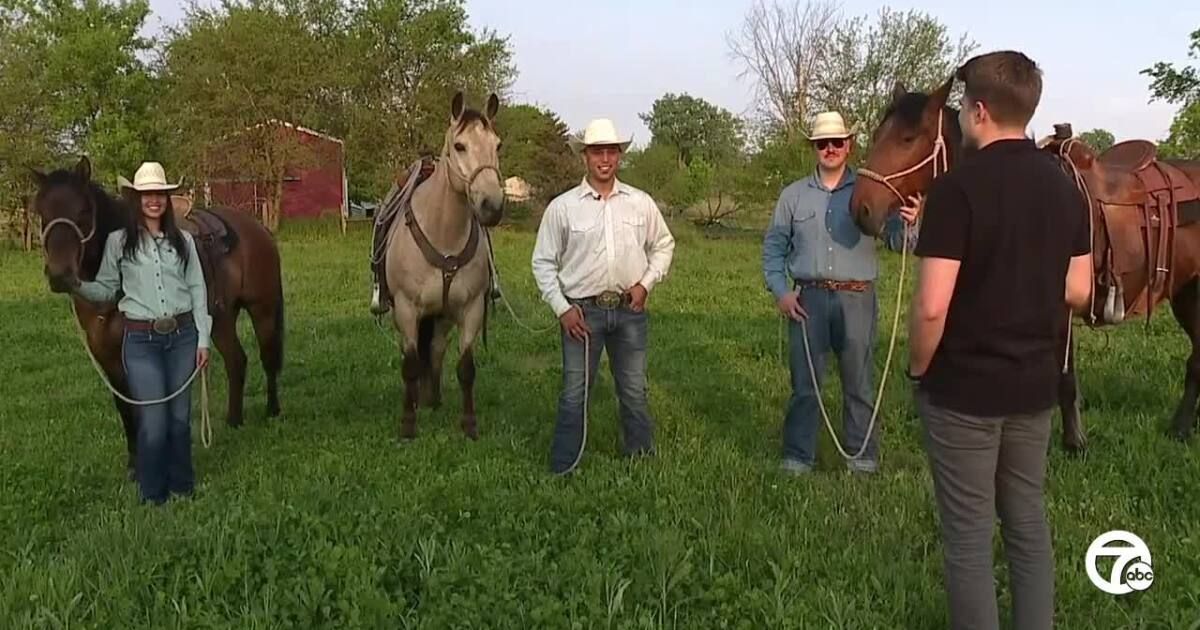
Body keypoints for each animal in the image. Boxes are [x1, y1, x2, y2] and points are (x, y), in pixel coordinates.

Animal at [31, 156, 285, 477]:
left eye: (84, 212)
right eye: (41, 212)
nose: (60, 275)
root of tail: (257, 228)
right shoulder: (105, 352)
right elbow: (124, 404)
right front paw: (134, 462)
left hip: (262, 310)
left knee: (268, 358)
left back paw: (272, 412)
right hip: (220, 319)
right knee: (236, 361)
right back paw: (233, 421)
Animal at [376, 90, 504, 439]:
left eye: (497, 145)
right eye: (459, 146)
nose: (492, 206)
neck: (443, 234)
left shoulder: (470, 309)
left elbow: (466, 368)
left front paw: (469, 425)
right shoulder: (407, 309)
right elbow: (409, 364)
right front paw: (408, 424)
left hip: (443, 316)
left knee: (434, 350)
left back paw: (432, 397)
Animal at [849, 75, 1200, 446]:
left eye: (907, 138)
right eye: (877, 135)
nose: (861, 210)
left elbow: (1065, 379)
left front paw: (1074, 443)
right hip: (1187, 293)